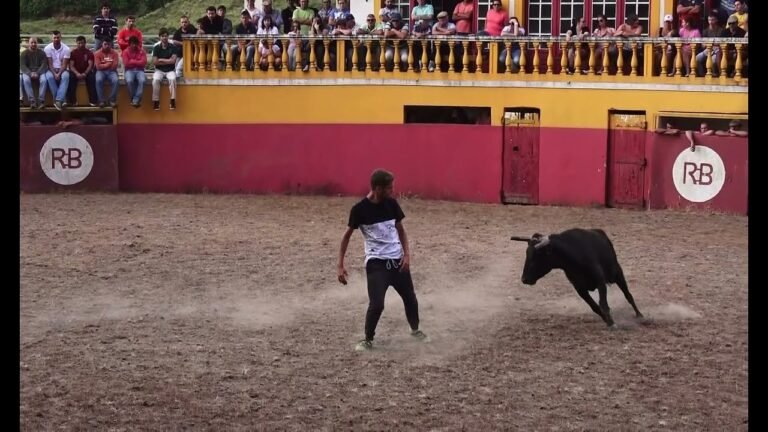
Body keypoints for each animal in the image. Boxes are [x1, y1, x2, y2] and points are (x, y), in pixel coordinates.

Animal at [512, 228, 644, 326]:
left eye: (537, 255)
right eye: (527, 254)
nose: (524, 279)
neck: (572, 255)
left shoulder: (600, 281)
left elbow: (603, 304)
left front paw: (612, 323)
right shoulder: (580, 288)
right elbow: (594, 307)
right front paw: (607, 320)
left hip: (616, 273)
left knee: (628, 295)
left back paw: (640, 315)